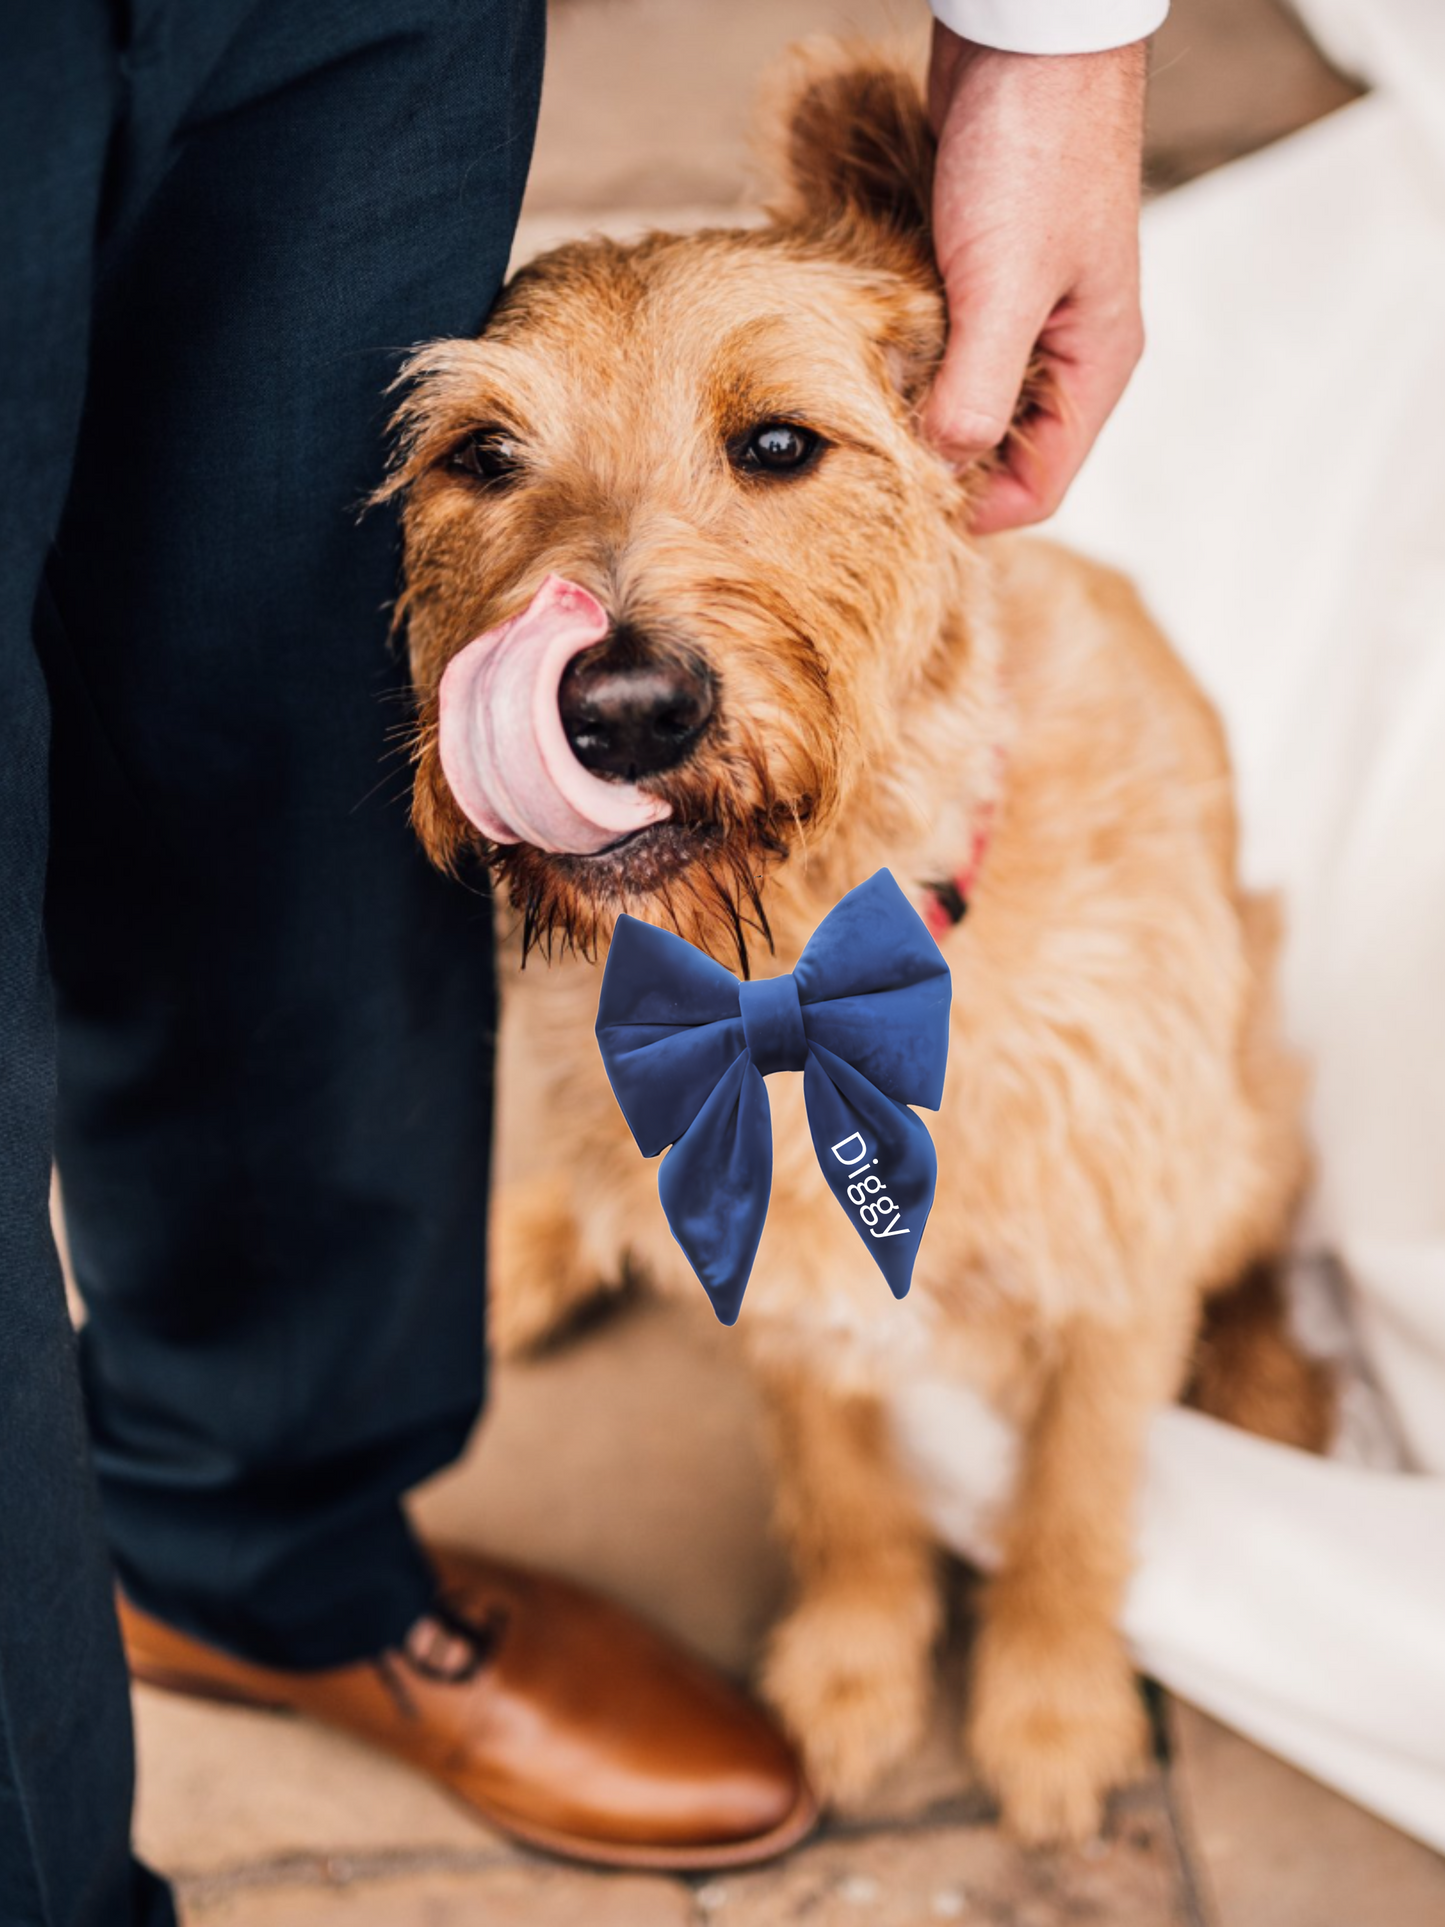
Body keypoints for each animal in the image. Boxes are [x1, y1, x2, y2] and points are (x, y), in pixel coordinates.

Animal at [379, 45, 1333, 1842]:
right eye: (480, 456)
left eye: (778, 442)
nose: (618, 705)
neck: (804, 980)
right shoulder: (777, 1292)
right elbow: (845, 1488)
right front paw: (852, 1670)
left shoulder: (1112, 1280)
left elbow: (1073, 1505)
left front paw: (1048, 1705)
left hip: (1249, 1101)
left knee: (1261, 1216)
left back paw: (1269, 1381)